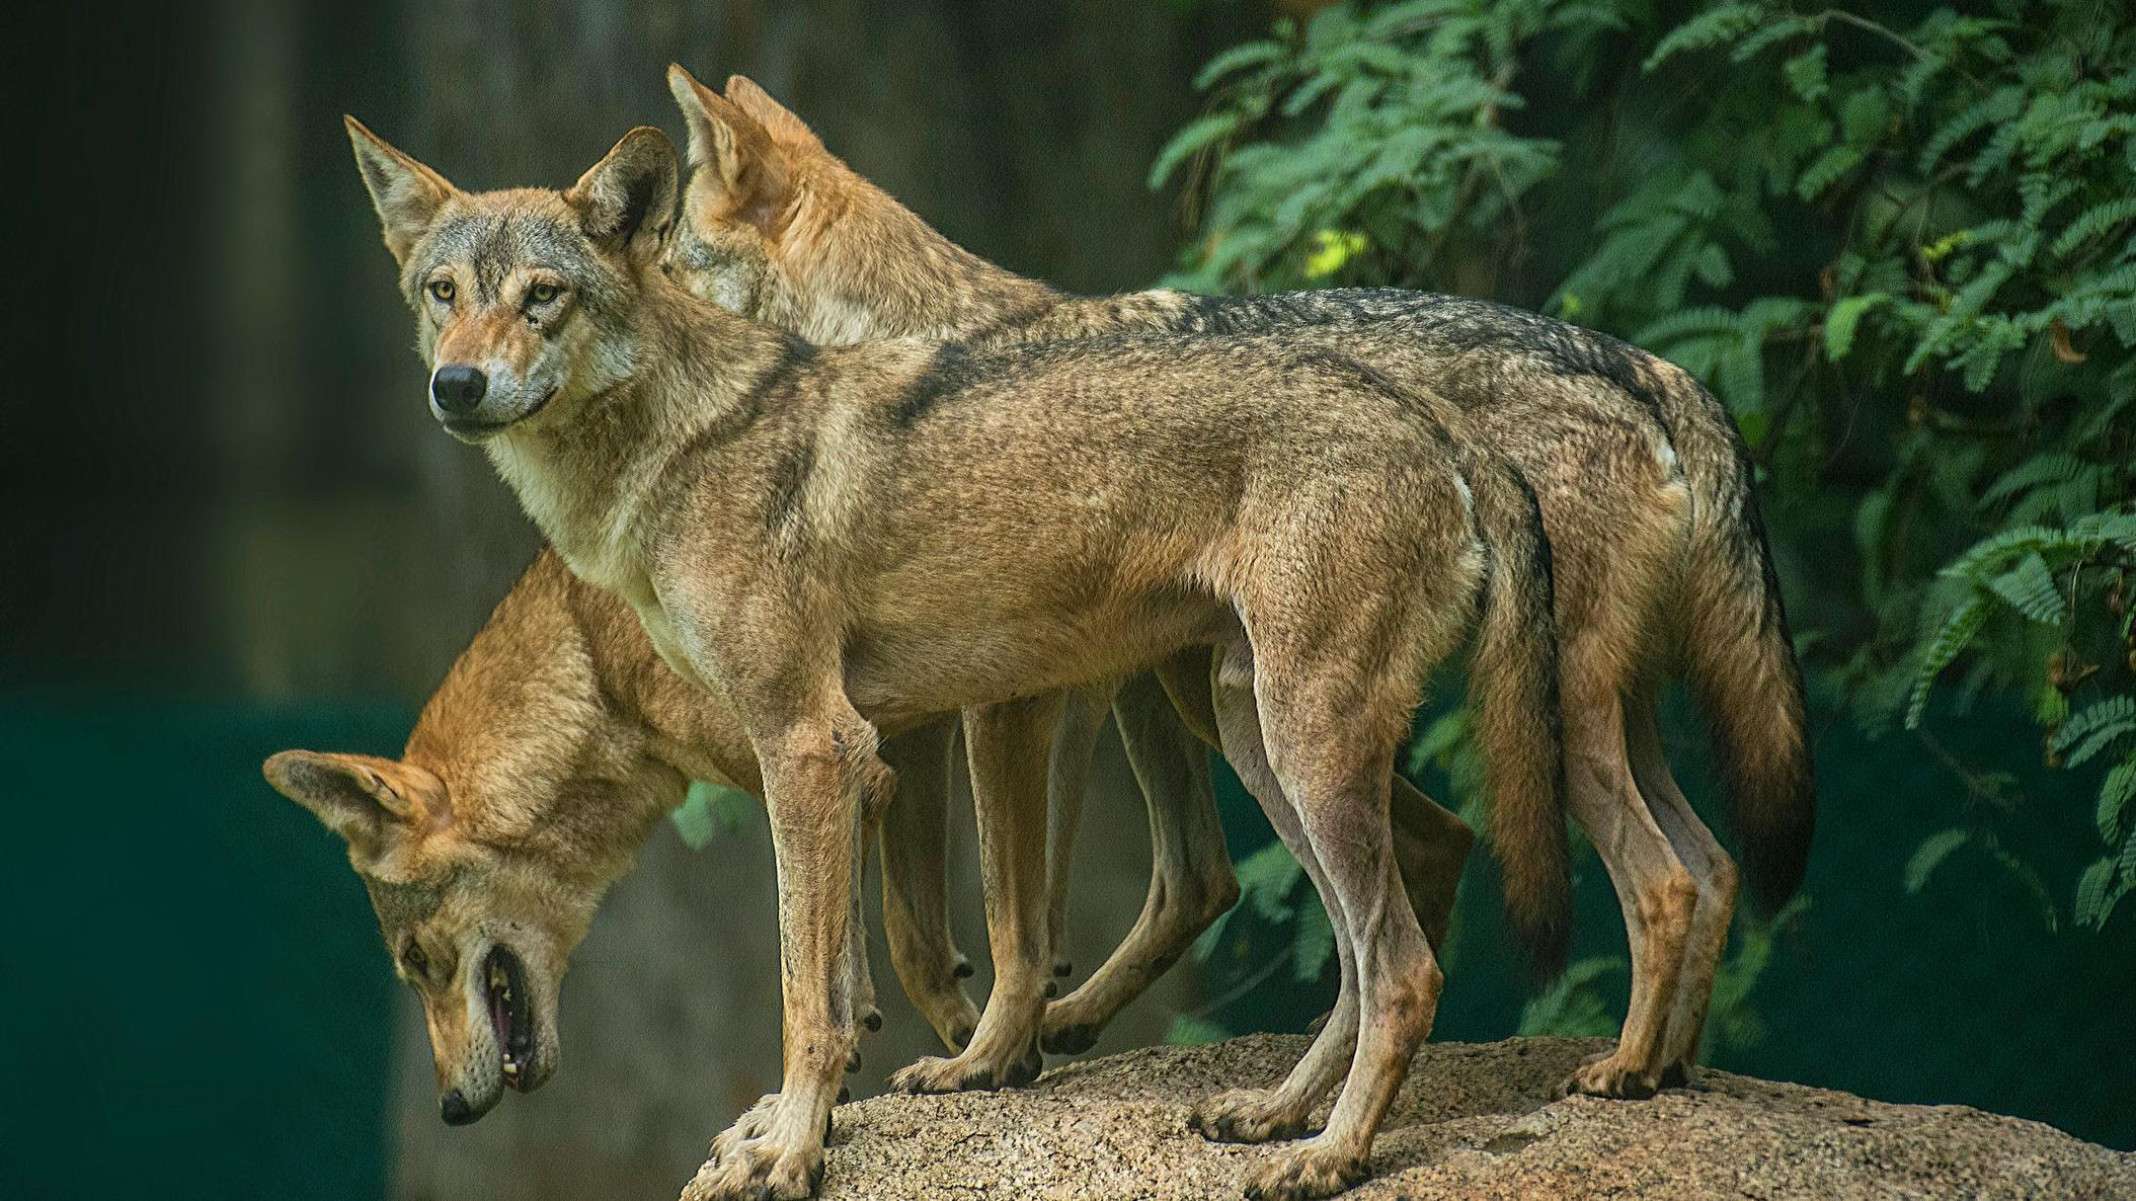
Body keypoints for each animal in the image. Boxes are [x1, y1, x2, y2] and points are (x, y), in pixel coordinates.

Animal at [341, 114, 1563, 1196]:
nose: (457, 386)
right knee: (1357, 954)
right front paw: (824, 1121)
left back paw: (1330, 1157)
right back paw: (1276, 1116)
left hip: (1294, 747)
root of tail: (1435, 422)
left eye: (540, 296)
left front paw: (792, 1154)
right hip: (1254, 740)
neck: (673, 454)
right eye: (443, 295)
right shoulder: (863, 756)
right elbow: (861, 975)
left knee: (1401, 969)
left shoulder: (813, 746)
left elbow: (815, 997)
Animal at [657, 63, 1811, 1094]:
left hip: (1484, 720)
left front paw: (980, 1055)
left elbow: (1004, 918)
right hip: (1246, 699)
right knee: (1697, 864)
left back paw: (1617, 1068)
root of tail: (1651, 370)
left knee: (1654, 879)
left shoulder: (1004, 708)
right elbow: (932, 924)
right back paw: (1658, 1067)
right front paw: (972, 1043)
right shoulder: (968, 710)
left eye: (662, 264)